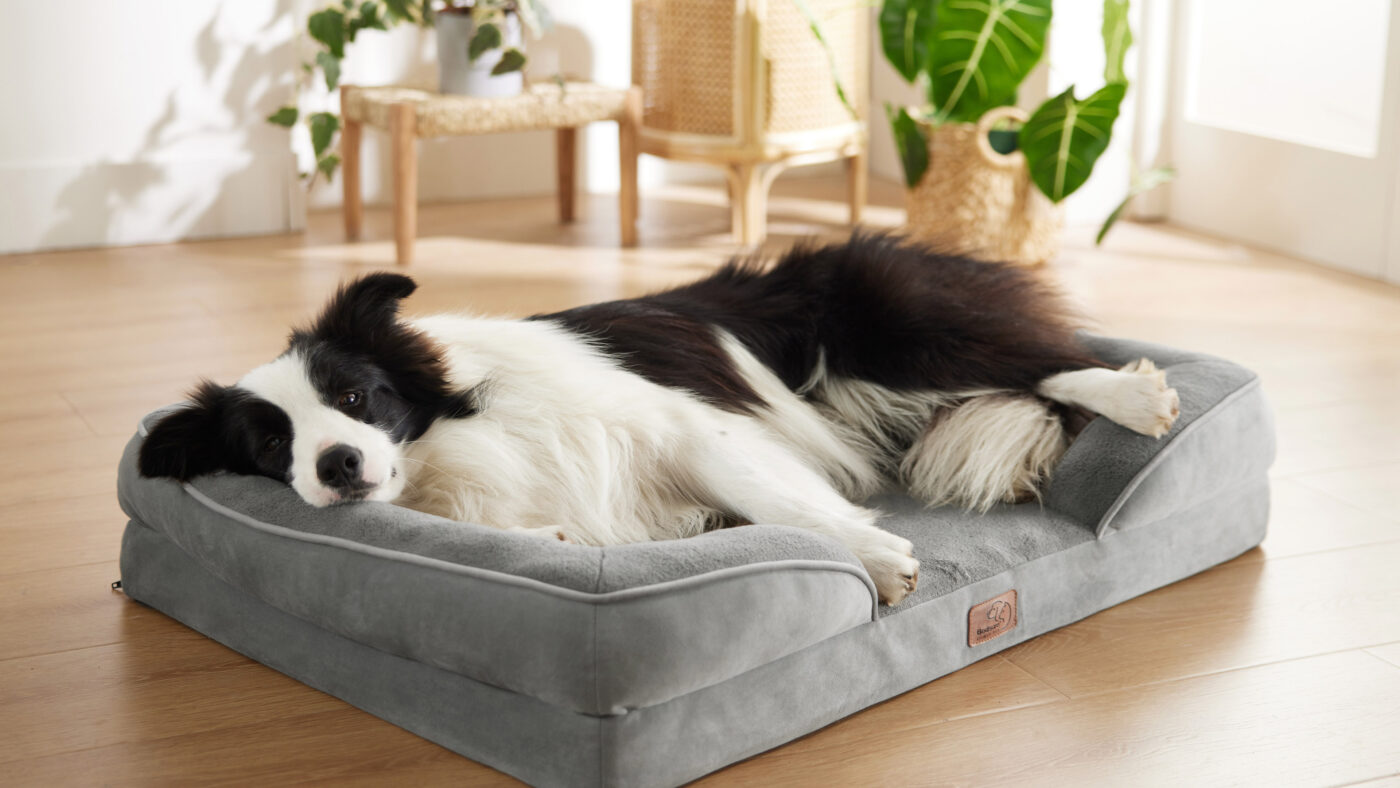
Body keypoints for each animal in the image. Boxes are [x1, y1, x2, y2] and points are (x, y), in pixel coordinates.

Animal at [139, 233, 1170, 604]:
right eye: (271, 444)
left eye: (356, 399)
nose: (339, 467)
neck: (450, 445)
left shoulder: (684, 429)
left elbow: (787, 505)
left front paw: (879, 561)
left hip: (892, 326)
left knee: (1044, 358)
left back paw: (1136, 395)